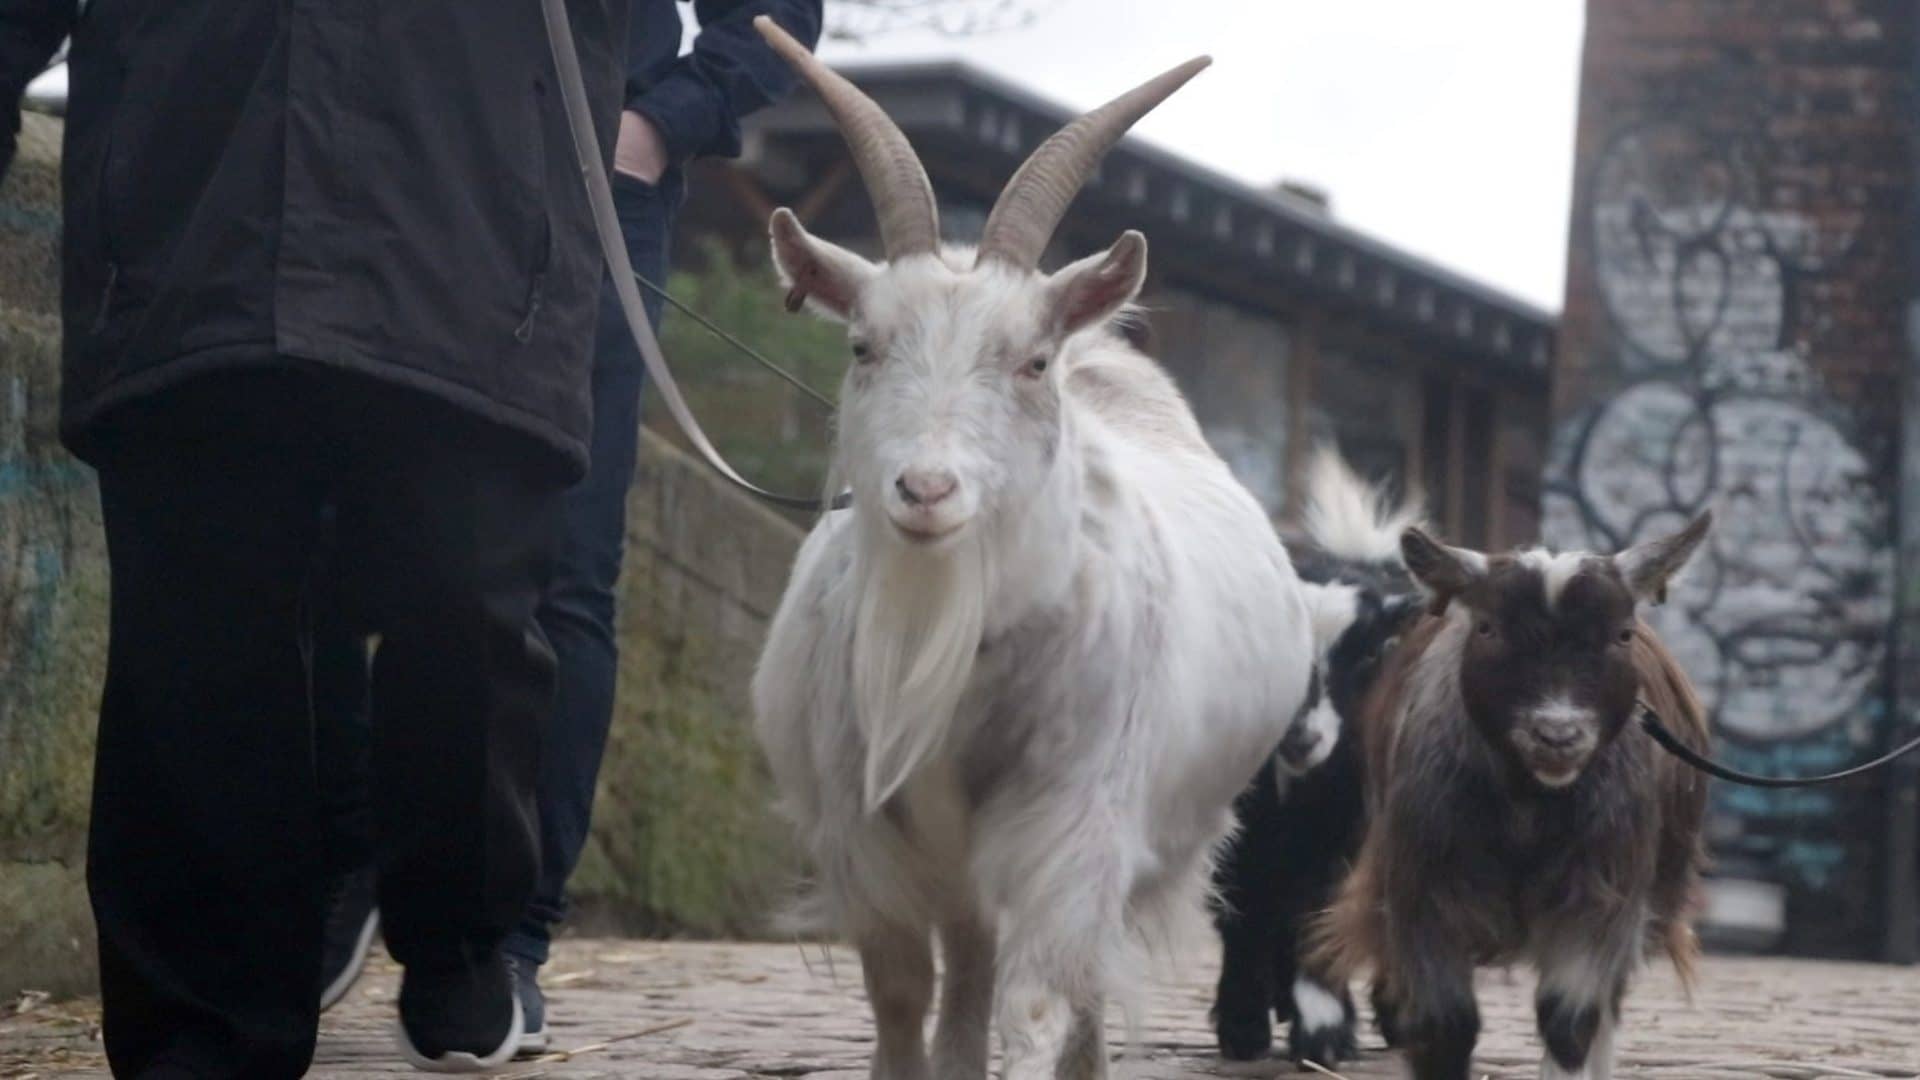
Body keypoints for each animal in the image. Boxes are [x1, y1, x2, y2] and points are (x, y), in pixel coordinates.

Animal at [747, 20, 1318, 1080]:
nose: (927, 491)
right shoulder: (864, 832)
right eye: (861, 346)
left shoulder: (1073, 824)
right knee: (968, 972)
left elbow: (1048, 1001)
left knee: (1071, 989)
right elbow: (903, 998)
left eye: (1032, 360)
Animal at [1211, 452, 1421, 1067]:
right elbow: (1244, 911)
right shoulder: (1241, 834)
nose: (1300, 737)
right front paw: (1242, 1026)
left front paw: (1325, 1031)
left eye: (1370, 654)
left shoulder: (1345, 835)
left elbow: (1321, 913)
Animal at [1314, 514, 1714, 1080]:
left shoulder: (1601, 895)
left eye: (1622, 634)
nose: (1558, 734)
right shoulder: (1425, 896)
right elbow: (1447, 1028)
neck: (1529, 803)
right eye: (1488, 628)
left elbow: (1569, 1020)